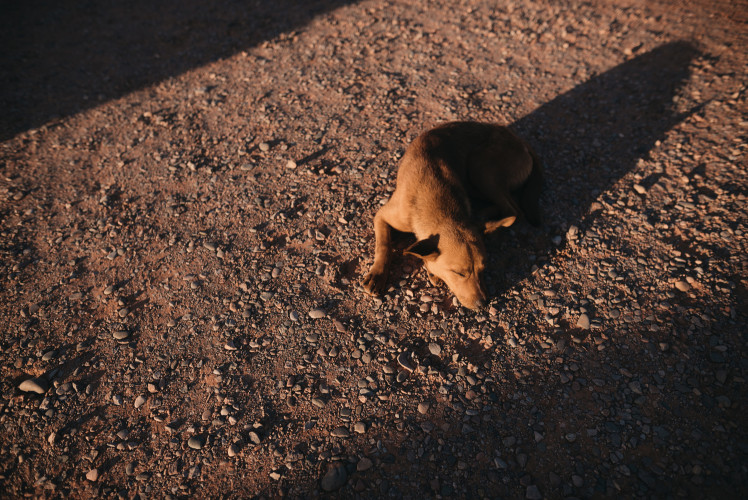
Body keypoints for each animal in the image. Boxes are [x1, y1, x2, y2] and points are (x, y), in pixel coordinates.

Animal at [360, 121, 540, 308]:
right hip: (478, 172)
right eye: (459, 273)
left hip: (480, 169)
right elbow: (383, 246)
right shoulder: (381, 216)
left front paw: (430, 268)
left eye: (482, 269)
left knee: (513, 209)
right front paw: (377, 275)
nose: (483, 303)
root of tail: (519, 140)